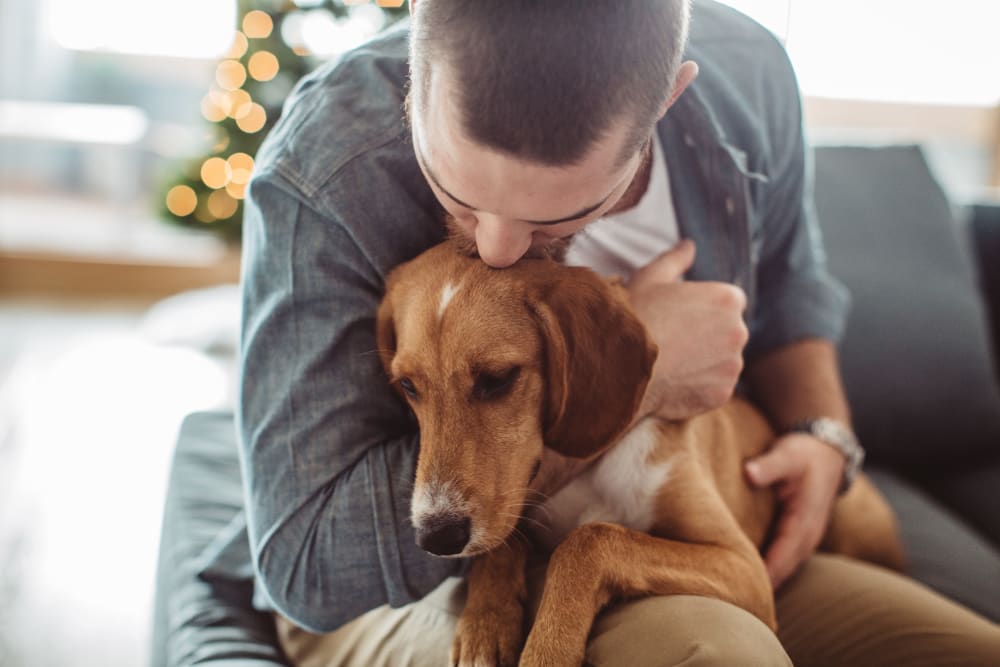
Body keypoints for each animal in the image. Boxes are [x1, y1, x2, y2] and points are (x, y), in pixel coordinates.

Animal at [376, 240, 908, 667]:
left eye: (498, 379)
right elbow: (505, 541)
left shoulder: (744, 565)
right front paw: (485, 624)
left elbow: (591, 539)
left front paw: (548, 648)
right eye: (407, 386)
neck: (591, 470)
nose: (435, 537)